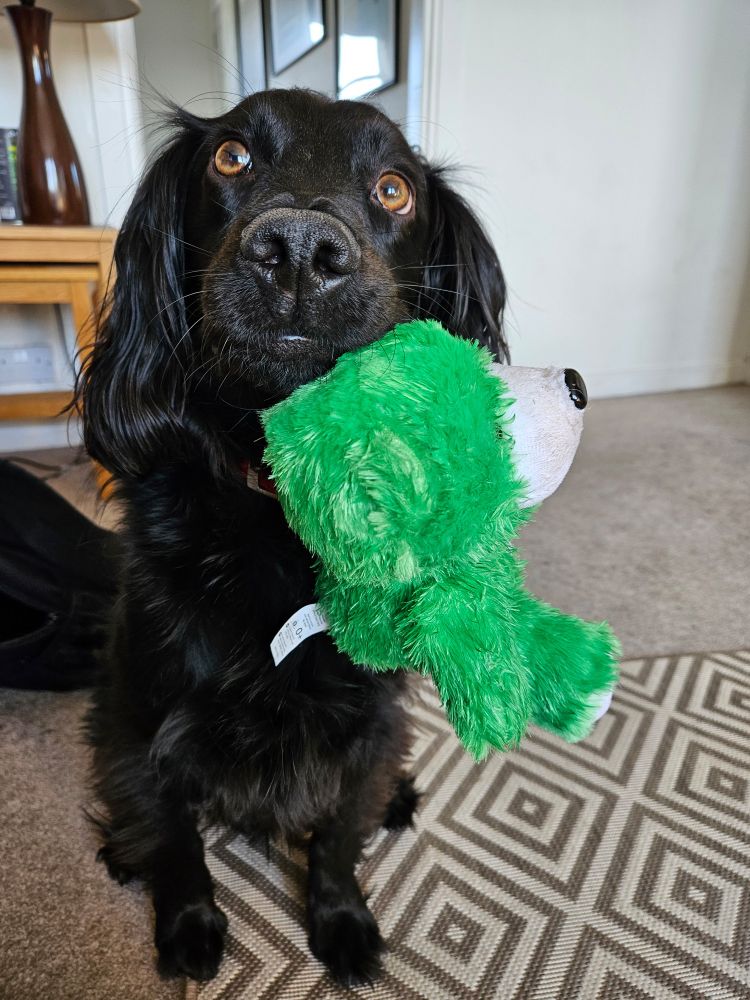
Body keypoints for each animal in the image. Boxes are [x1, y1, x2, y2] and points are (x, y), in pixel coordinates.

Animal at [77, 88, 507, 985]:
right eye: (232, 157)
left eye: (393, 189)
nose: (300, 251)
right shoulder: (146, 713)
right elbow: (175, 835)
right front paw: (189, 927)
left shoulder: (368, 716)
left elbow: (339, 833)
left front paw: (342, 924)